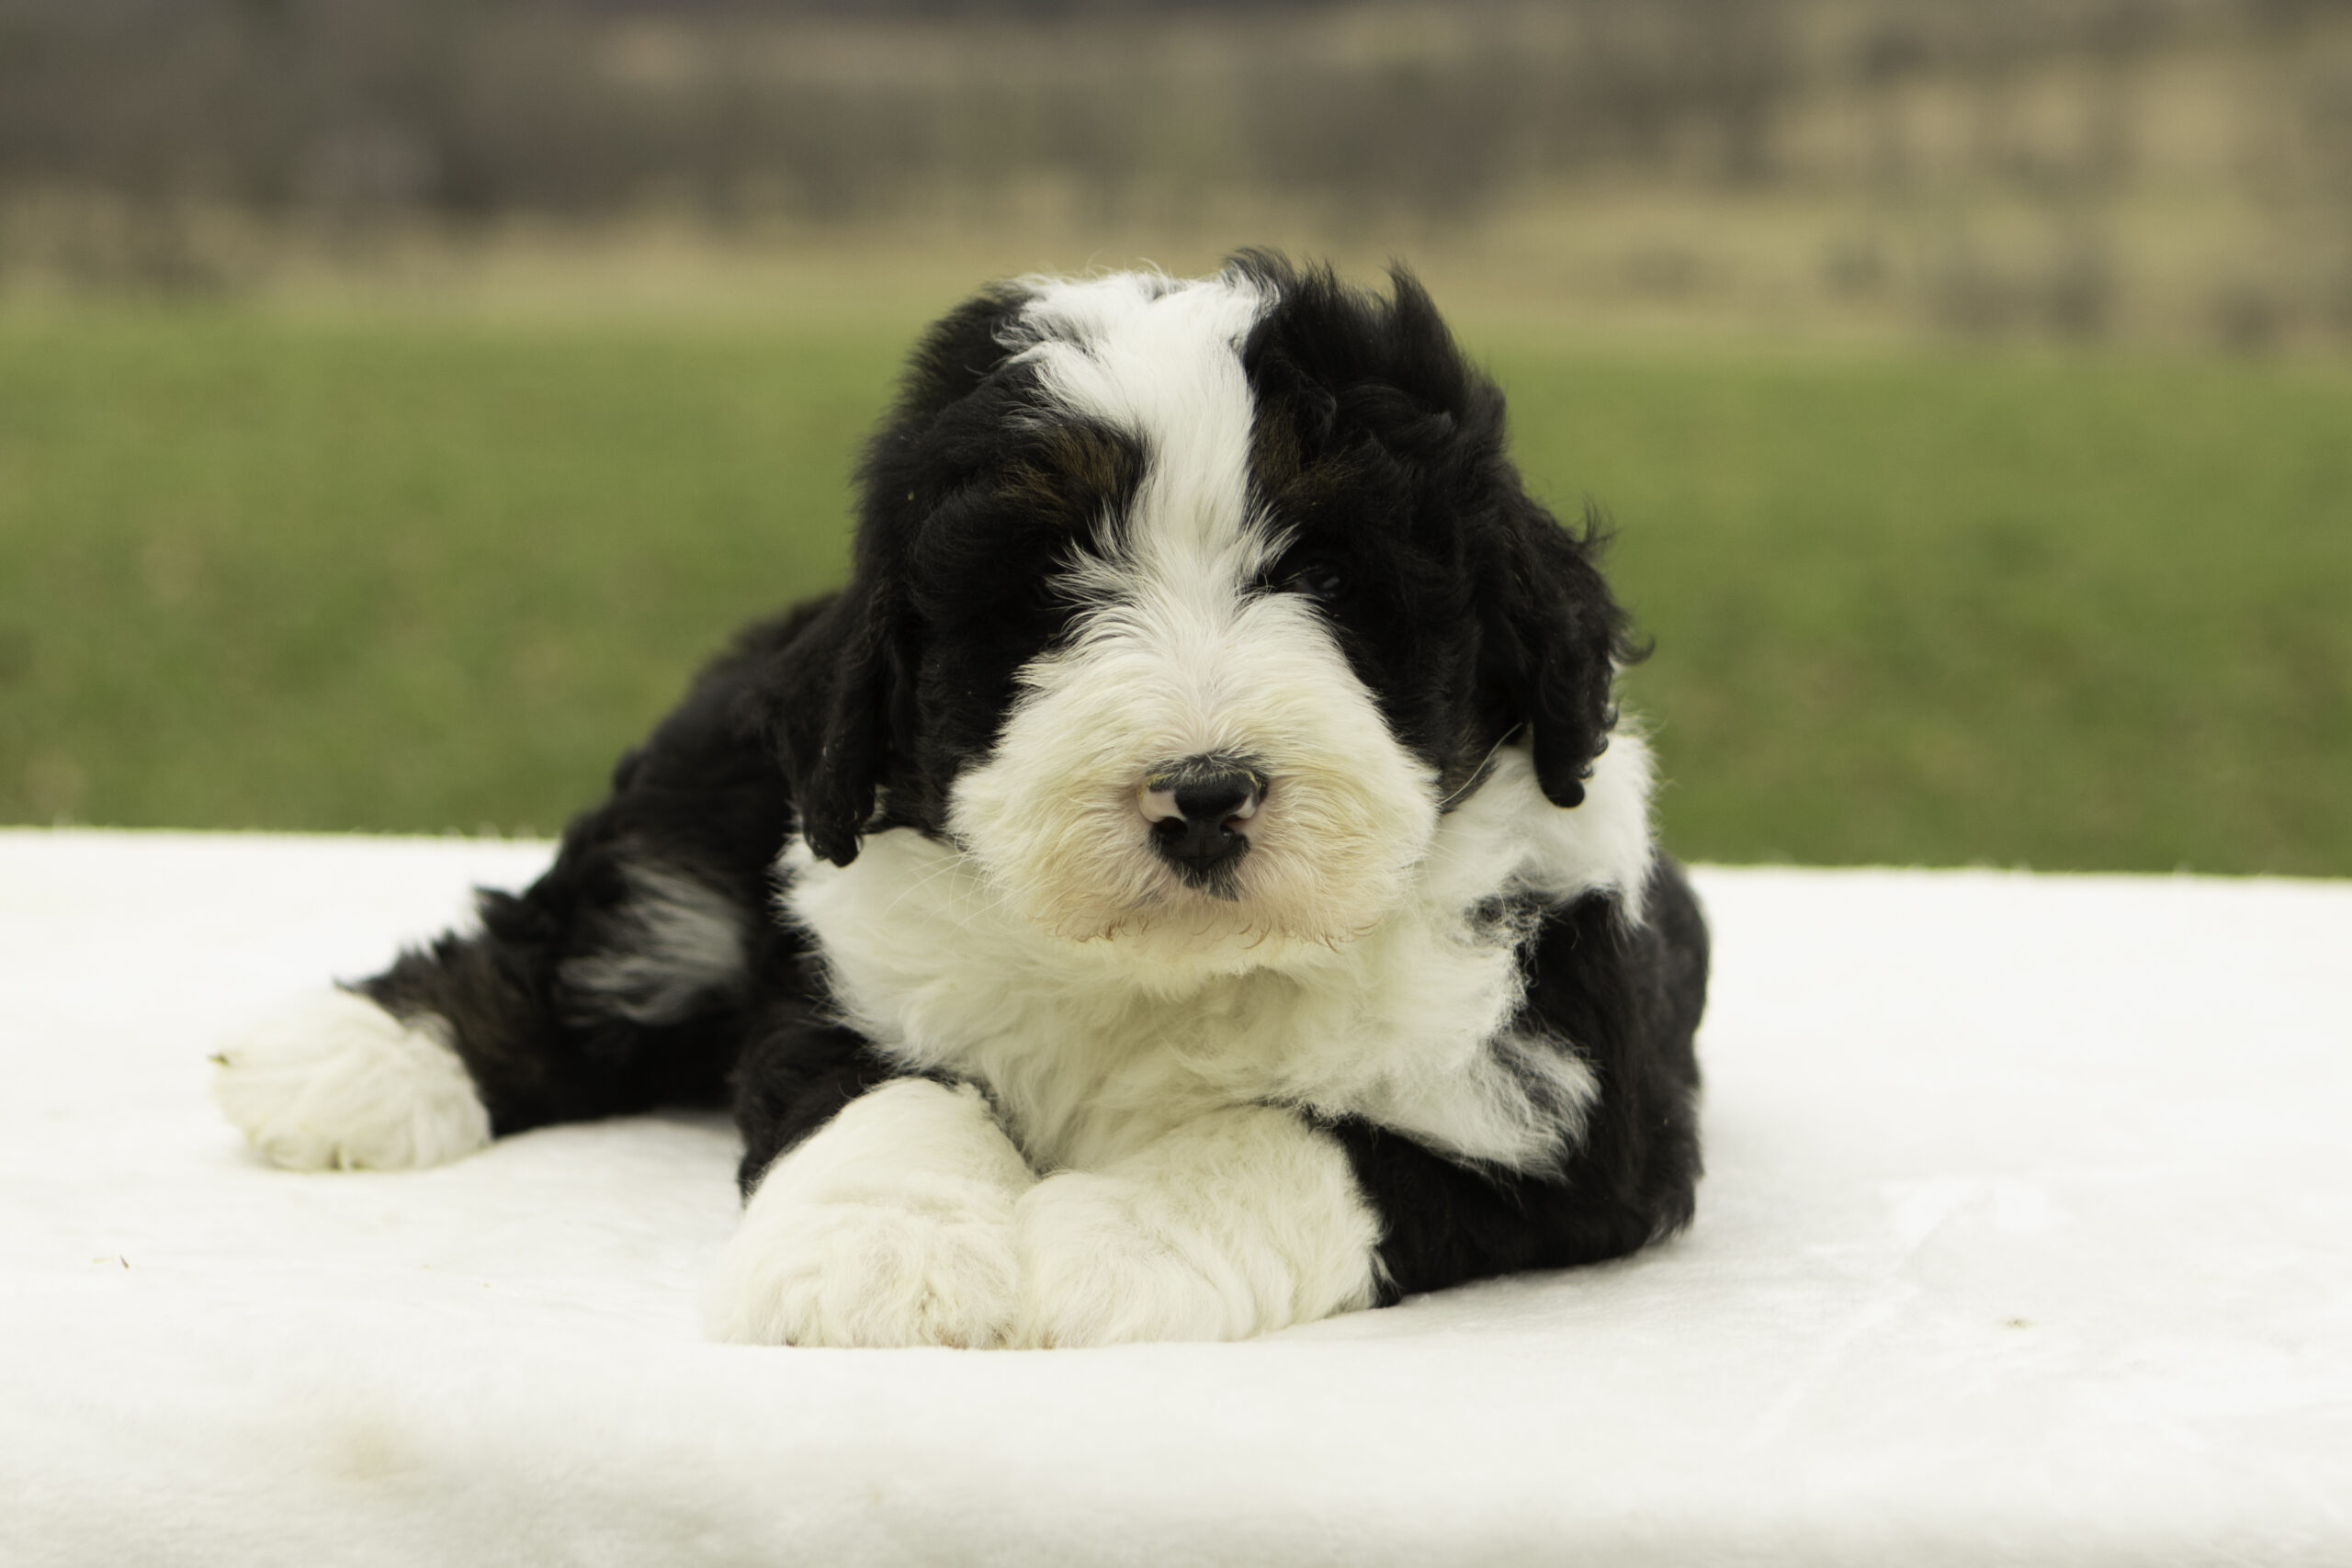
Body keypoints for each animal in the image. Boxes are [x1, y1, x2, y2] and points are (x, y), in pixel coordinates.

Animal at [213, 254, 1708, 1348]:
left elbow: (1297, 1138)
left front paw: (1115, 1239)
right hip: (713, 804)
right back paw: (353, 1063)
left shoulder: (1576, 1111)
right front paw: (874, 1258)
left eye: (1335, 581)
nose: (1204, 792)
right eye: (1048, 592)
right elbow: (889, 1096)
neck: (1164, 977)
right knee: (596, 940)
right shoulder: (852, 963)